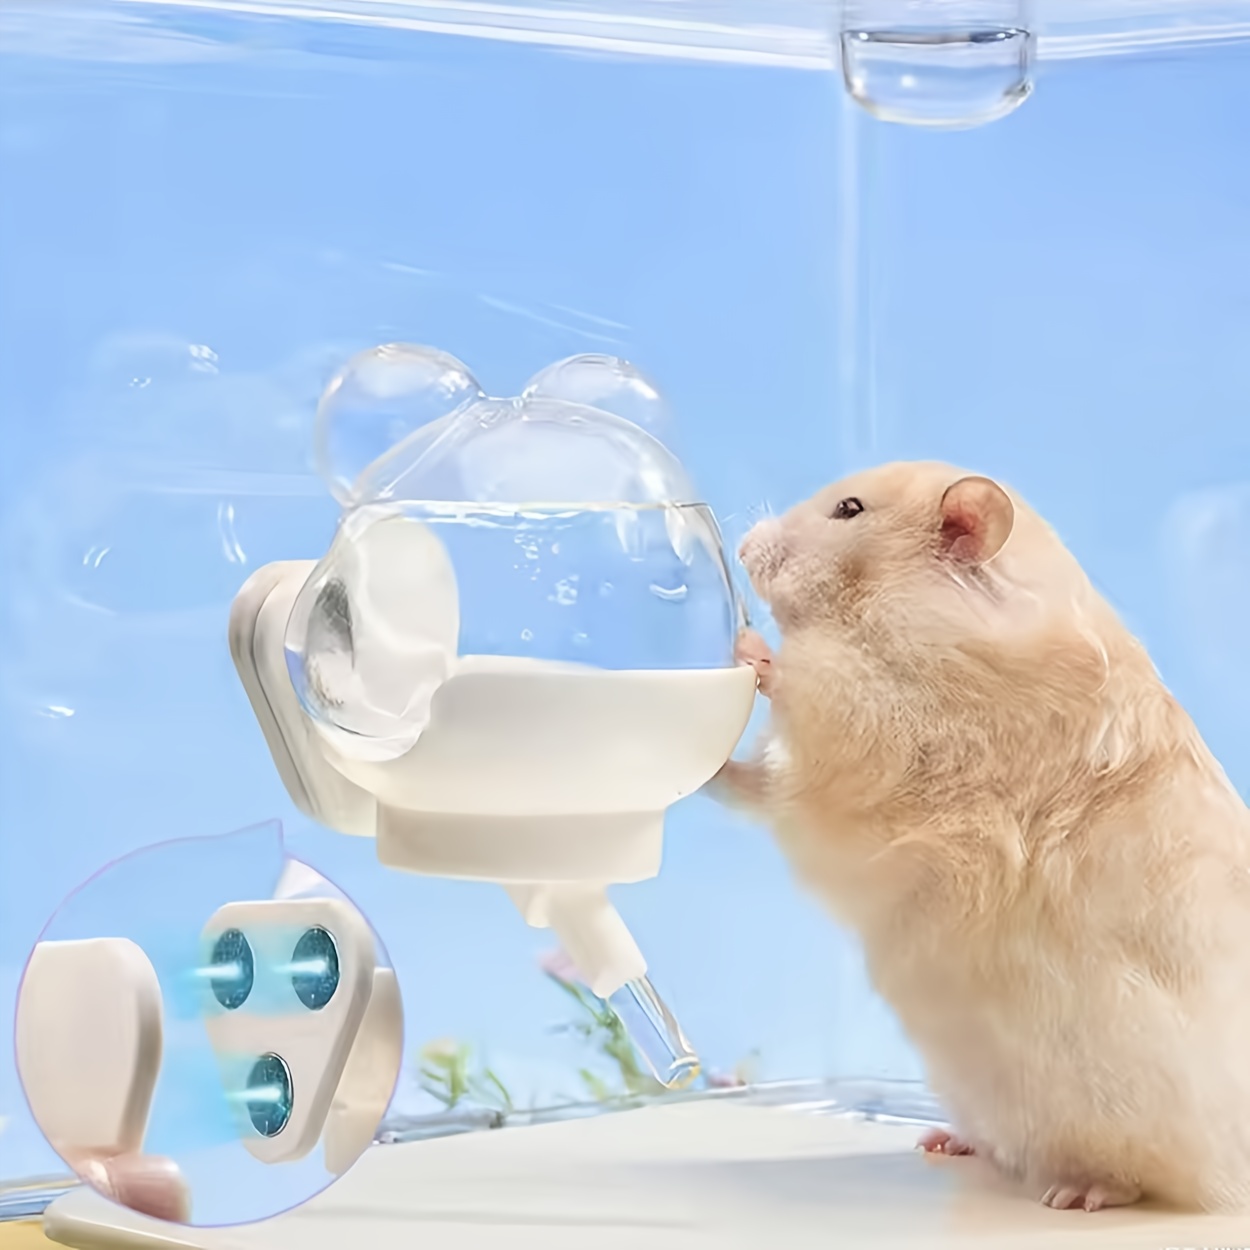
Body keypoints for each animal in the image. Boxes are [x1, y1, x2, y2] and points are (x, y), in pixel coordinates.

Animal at [716, 460, 1250, 1213]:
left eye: (848, 510)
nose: (740, 547)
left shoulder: (891, 727)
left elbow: (818, 700)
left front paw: (749, 651)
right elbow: (754, 780)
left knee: (1144, 1179)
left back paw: (1078, 1193)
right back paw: (942, 1141)